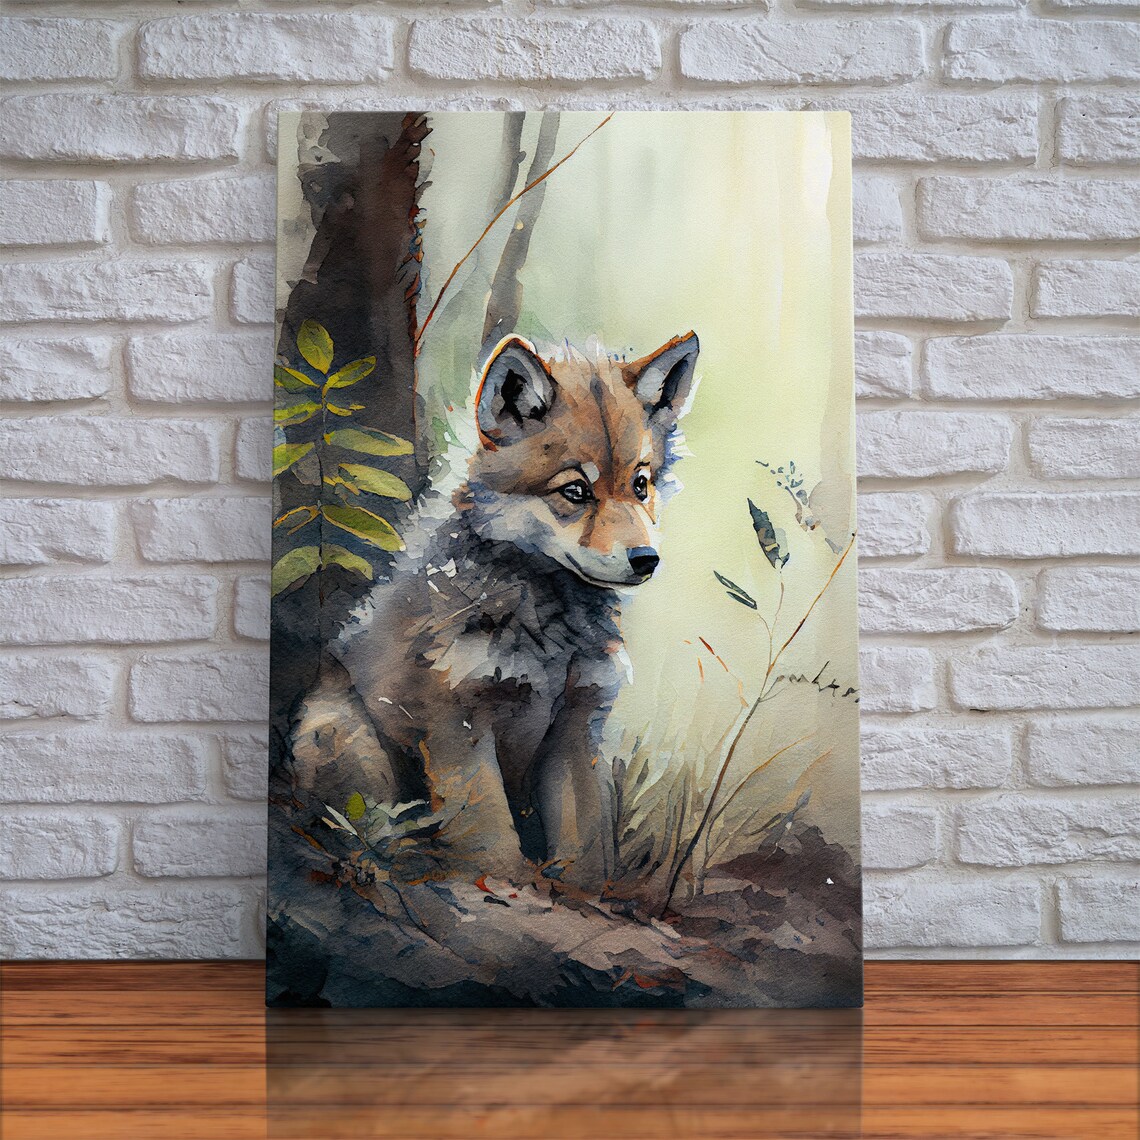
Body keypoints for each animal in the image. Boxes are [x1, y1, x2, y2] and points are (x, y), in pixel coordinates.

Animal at [290, 331, 700, 888]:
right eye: (575, 491)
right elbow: (489, 839)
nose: (646, 560)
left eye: (641, 485)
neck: (550, 633)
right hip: (345, 740)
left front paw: (578, 891)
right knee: (365, 828)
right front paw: (502, 883)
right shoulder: (458, 723)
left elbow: (586, 846)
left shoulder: (575, 726)